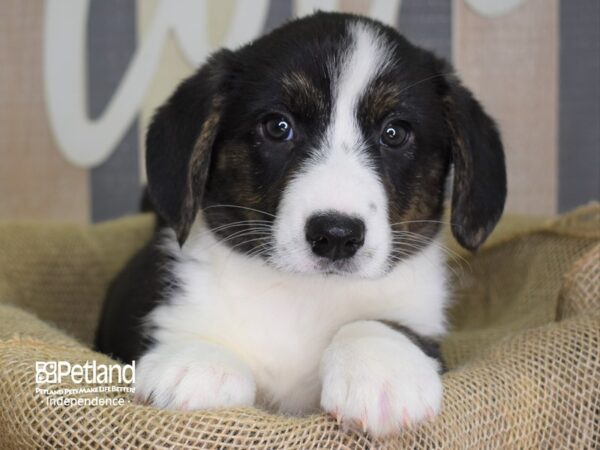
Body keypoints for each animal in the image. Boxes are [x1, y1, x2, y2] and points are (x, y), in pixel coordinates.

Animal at [95, 12, 506, 438]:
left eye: (394, 133)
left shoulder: (421, 318)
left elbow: (380, 325)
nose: (336, 236)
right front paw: (199, 362)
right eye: (278, 127)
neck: (304, 295)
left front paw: (382, 370)